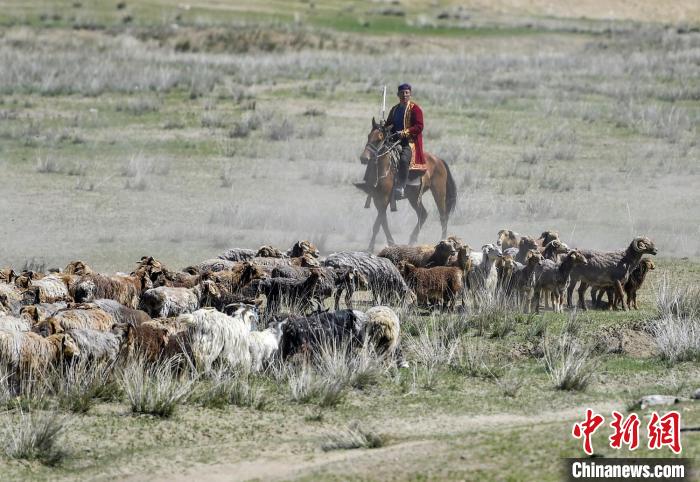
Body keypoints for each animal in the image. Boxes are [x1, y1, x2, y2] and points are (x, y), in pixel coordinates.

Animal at [356, 117, 460, 252]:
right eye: (369, 136)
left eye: (379, 138)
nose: (364, 158)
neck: (383, 168)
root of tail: (439, 160)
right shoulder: (376, 199)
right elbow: (383, 222)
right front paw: (391, 243)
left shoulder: (384, 199)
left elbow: (377, 224)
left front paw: (370, 248)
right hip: (414, 197)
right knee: (423, 214)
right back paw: (411, 241)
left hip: (439, 192)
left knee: (443, 217)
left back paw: (443, 241)